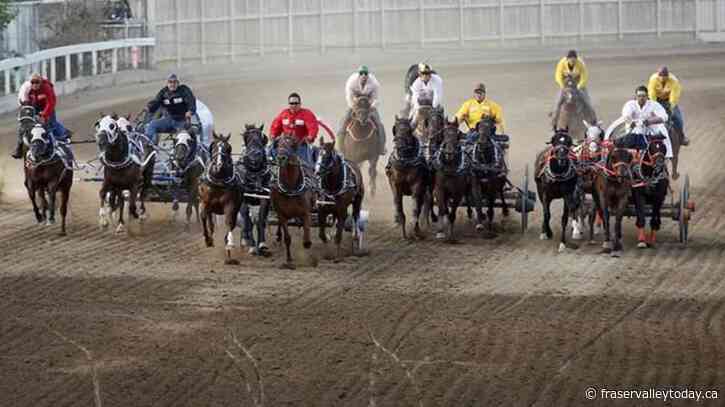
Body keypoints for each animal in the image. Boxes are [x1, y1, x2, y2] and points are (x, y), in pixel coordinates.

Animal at [199, 132, 244, 265]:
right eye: (213, 146)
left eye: (228, 148)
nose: (219, 165)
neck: (219, 181)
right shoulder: (205, 202)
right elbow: (203, 216)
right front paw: (208, 240)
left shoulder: (231, 205)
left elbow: (229, 222)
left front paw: (229, 245)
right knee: (209, 219)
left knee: (232, 223)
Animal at [237, 124, 272, 256]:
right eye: (247, 138)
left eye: (261, 138)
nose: (254, 157)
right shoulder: (244, 200)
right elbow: (247, 221)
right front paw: (252, 246)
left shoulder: (265, 199)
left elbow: (261, 219)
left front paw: (262, 244)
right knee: (246, 222)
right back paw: (245, 239)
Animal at [270, 134, 316, 269]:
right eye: (278, 144)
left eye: (291, 144)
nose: (281, 158)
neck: (291, 187)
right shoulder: (282, 214)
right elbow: (287, 238)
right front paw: (289, 259)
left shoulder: (306, 212)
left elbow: (307, 235)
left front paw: (310, 255)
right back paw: (278, 236)